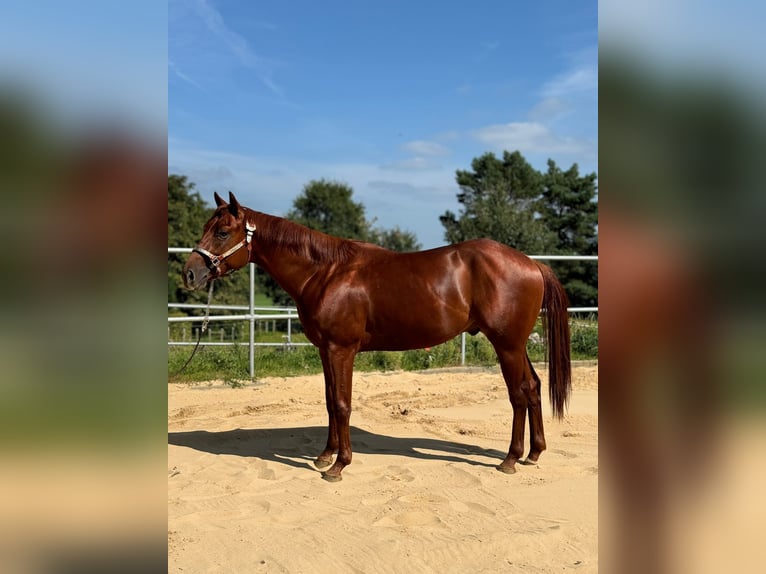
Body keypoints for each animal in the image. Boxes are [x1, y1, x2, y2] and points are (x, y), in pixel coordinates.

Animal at [184, 192, 568, 482]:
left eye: (222, 232)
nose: (189, 273)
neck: (326, 272)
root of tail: (532, 264)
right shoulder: (325, 350)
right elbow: (330, 402)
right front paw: (325, 456)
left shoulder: (341, 350)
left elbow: (342, 404)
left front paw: (339, 465)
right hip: (517, 345)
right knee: (533, 388)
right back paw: (534, 453)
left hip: (507, 345)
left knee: (518, 395)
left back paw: (510, 459)